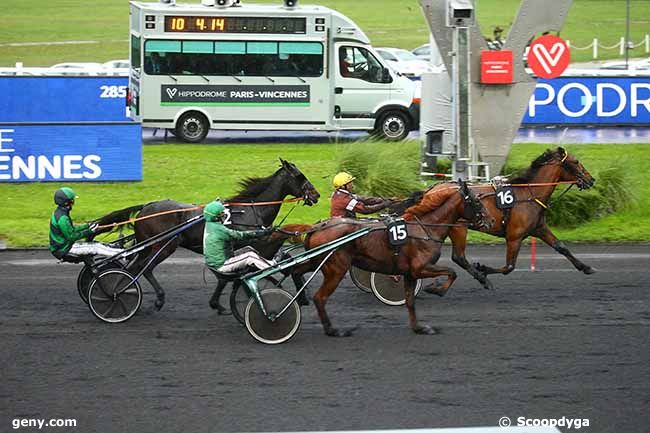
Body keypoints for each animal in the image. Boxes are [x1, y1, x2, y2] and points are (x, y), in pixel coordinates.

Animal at [96, 159, 318, 310]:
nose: (316, 195)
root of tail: (147, 206)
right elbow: (243, 273)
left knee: (133, 267)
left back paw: (118, 292)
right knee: (145, 268)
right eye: (300, 176)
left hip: (147, 245)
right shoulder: (249, 245)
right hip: (165, 245)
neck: (251, 210)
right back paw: (151, 298)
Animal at [288, 181, 492, 336]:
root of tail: (317, 227)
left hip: (318, 262)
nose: (490, 221)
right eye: (476, 201)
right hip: (336, 269)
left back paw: (302, 297)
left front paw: (419, 328)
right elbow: (452, 272)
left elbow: (410, 302)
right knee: (320, 297)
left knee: (296, 270)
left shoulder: (410, 273)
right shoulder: (420, 268)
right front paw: (436, 289)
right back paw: (332, 330)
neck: (424, 228)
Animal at [410, 146, 592, 290]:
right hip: (458, 228)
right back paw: (481, 279)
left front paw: (585, 267)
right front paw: (483, 268)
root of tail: (430, 190)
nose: (591, 179)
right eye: (576, 162)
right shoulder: (514, 237)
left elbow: (561, 247)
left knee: (458, 257)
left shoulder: (539, 228)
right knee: (459, 257)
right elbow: (509, 267)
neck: (529, 194)